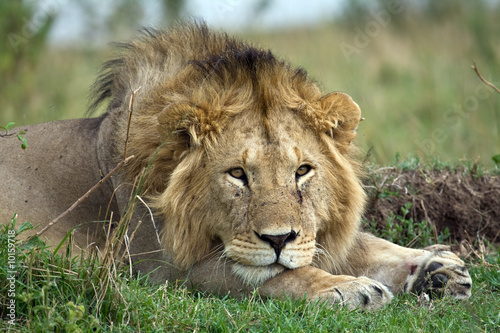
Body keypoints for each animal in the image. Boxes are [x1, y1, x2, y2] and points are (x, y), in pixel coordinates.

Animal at [0, 22, 470, 310]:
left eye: (302, 171)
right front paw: (347, 287)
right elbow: (275, 276)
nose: (278, 239)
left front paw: (436, 268)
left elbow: (362, 244)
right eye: (238, 175)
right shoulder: (163, 270)